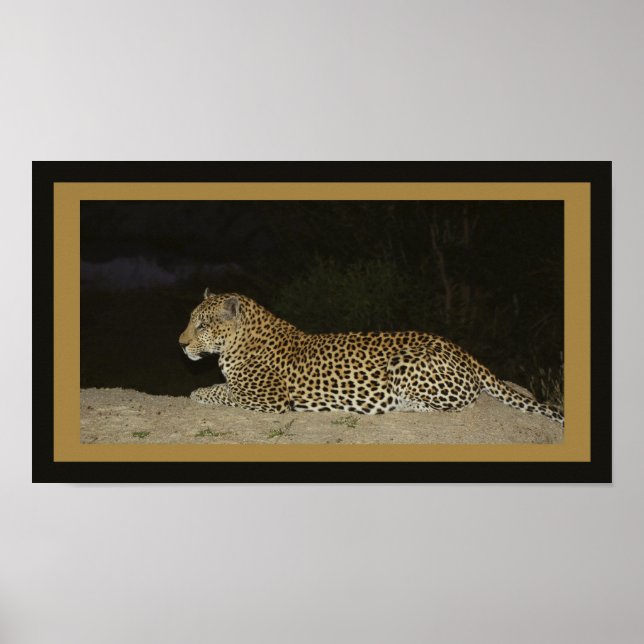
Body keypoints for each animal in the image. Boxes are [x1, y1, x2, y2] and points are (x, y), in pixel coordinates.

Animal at [179, 290, 564, 425]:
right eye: (190, 321)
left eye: (201, 325)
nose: (180, 344)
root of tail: (461, 350)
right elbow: (223, 387)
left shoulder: (268, 398)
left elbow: (223, 392)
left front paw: (200, 392)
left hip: (406, 363)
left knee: (457, 404)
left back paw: (399, 406)